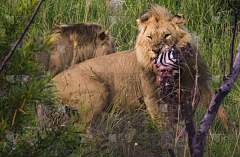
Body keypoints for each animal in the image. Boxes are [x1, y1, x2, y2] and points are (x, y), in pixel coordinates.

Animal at [53, 4, 236, 134]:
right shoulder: (151, 96)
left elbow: (219, 108)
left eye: (166, 35)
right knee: (80, 130)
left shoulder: (199, 83)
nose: (156, 50)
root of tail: (51, 81)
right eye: (149, 37)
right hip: (98, 92)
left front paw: (233, 133)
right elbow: (162, 125)